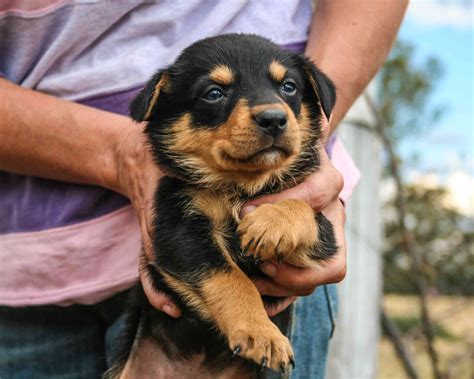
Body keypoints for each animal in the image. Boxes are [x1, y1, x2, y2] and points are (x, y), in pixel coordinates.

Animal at [107, 34, 336, 378]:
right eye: (214, 93)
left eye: (289, 87)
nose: (274, 119)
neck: (239, 188)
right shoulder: (177, 230)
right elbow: (230, 278)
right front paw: (262, 334)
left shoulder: (325, 242)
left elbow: (303, 207)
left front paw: (270, 224)